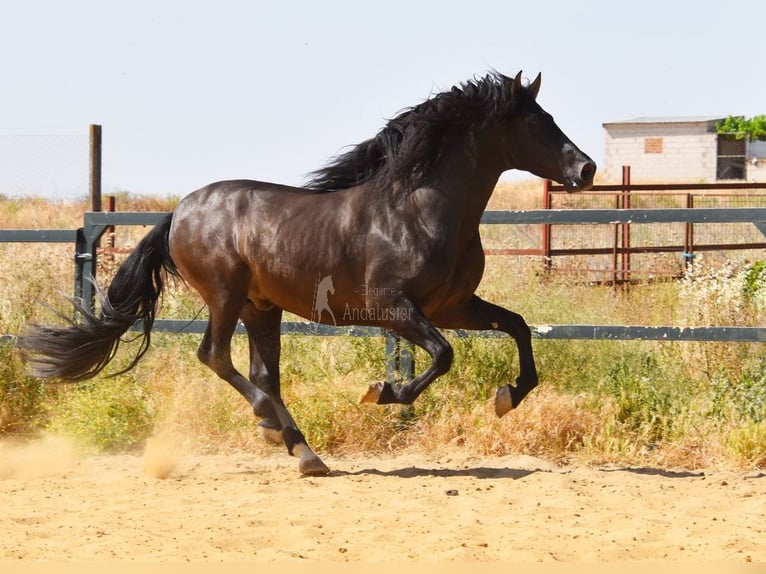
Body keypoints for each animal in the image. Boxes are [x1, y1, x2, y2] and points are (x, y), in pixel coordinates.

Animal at [16, 71, 592, 476]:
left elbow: (517, 327)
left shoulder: (453, 307)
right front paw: (383, 392)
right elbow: (444, 355)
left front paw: (507, 397)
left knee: (262, 374)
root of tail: (179, 211)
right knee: (217, 357)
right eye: (537, 123)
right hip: (226, 296)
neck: (419, 209)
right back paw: (278, 430)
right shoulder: (393, 309)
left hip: (260, 307)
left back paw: (300, 449)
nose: (585, 169)